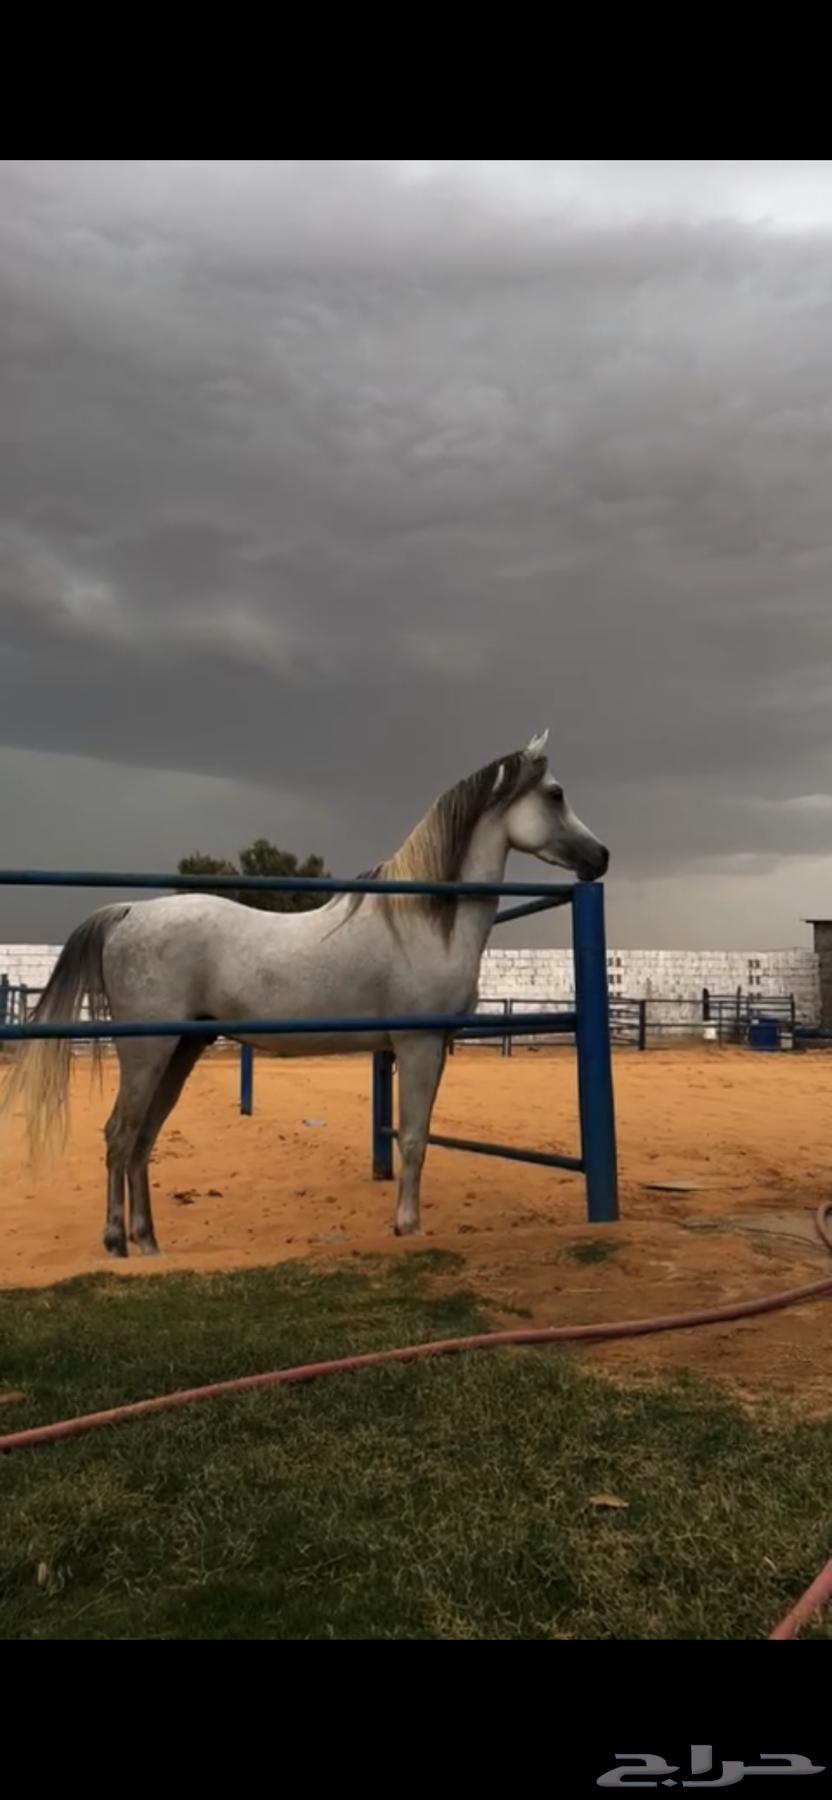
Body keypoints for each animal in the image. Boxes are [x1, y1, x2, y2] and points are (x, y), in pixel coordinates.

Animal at [1, 731, 608, 1255]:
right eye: (555, 794)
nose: (600, 857)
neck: (423, 919)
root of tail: (129, 911)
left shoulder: (432, 1049)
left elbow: (421, 1134)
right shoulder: (417, 1045)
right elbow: (413, 1137)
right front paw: (407, 1227)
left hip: (179, 1052)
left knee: (143, 1139)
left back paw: (148, 1243)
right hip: (148, 1052)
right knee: (120, 1135)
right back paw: (115, 1244)